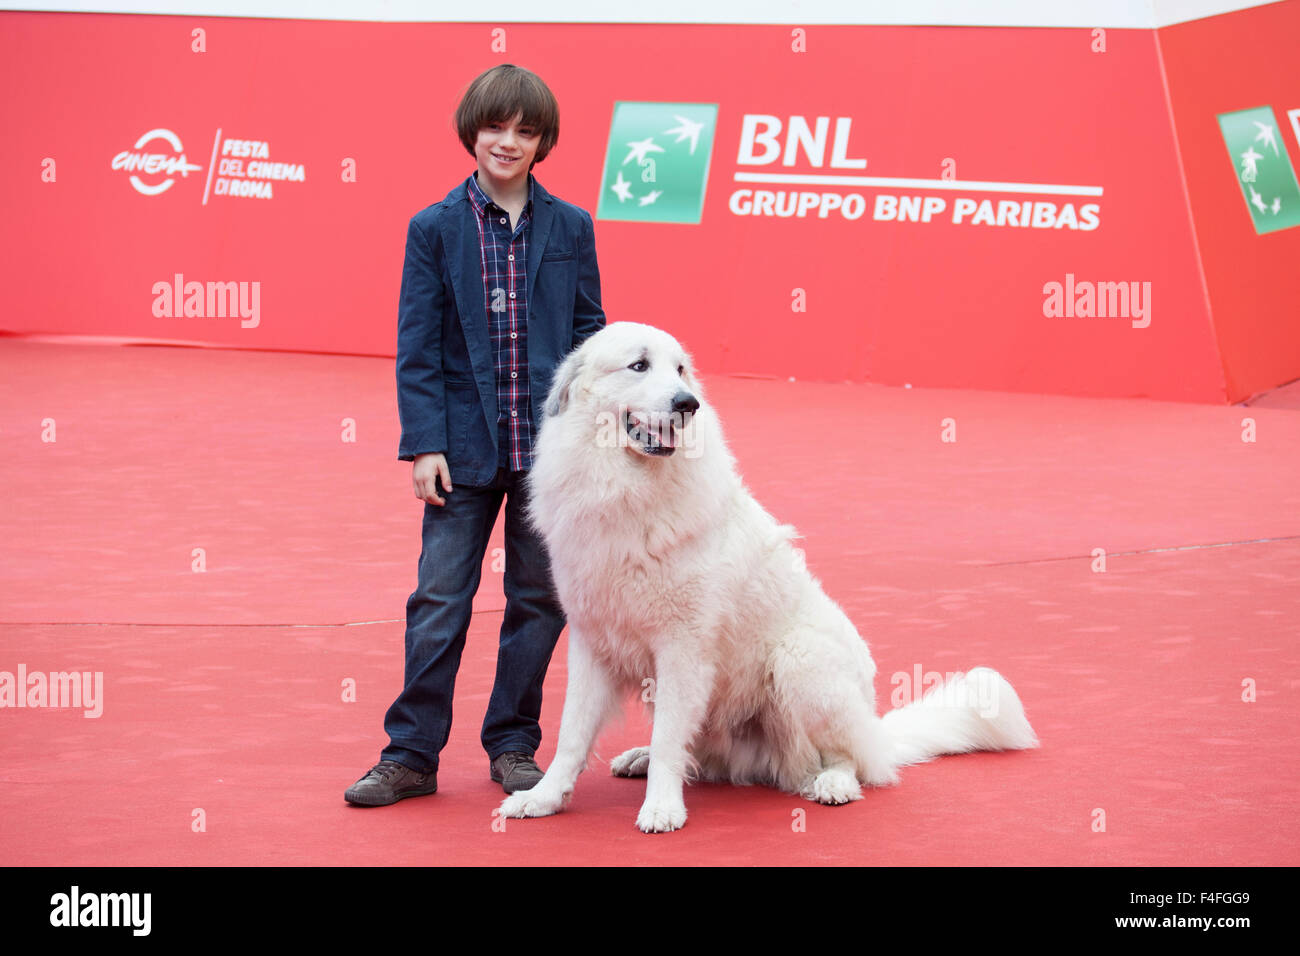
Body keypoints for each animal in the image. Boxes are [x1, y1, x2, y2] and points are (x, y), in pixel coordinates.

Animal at [493, 321, 1034, 832]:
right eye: (639, 366)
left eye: (681, 370)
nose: (688, 404)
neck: (628, 486)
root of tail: (877, 730)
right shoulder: (592, 641)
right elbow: (573, 733)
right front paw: (544, 798)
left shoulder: (683, 648)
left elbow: (668, 738)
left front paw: (662, 808)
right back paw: (640, 759)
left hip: (799, 663)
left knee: (851, 761)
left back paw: (832, 783)